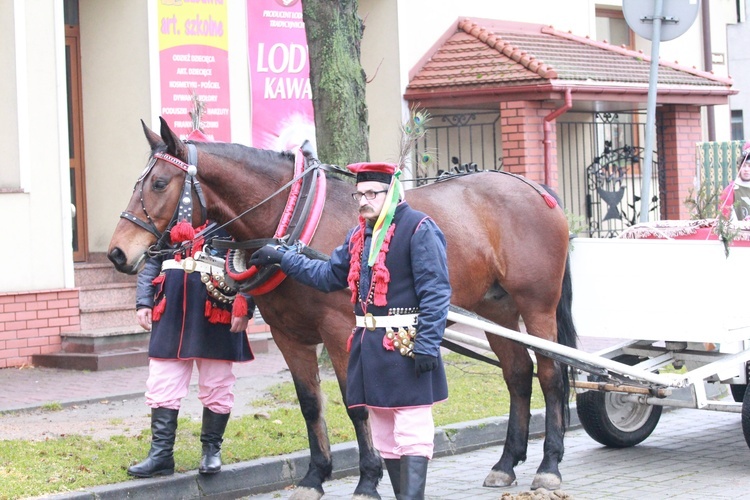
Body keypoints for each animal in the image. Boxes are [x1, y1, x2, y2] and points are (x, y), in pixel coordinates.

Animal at [107, 117, 576, 496]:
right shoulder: (288, 335)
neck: (291, 218)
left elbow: (357, 403)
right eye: (136, 182)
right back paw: (506, 463)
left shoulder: (340, 332)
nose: (116, 253)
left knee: (552, 375)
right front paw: (316, 476)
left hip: (537, 306)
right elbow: (311, 404)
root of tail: (536, 187)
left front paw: (368, 479)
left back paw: (549, 465)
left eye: (159, 183)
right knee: (518, 375)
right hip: (497, 309)